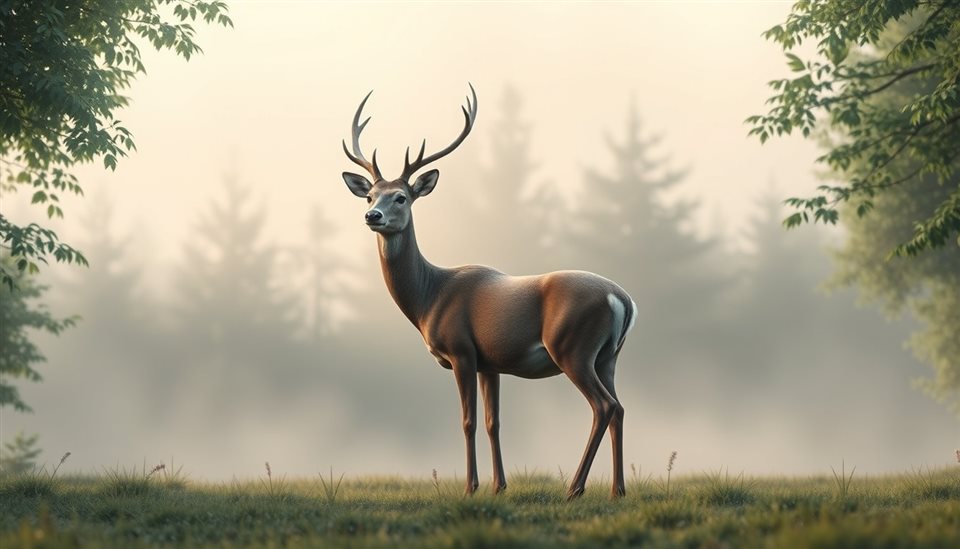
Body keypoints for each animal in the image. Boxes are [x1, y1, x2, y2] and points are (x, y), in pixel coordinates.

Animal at [339, 84, 637, 500]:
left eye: (401, 197)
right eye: (370, 196)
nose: (372, 216)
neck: (429, 298)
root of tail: (621, 299)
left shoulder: (461, 350)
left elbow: (468, 421)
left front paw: (471, 487)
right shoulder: (490, 362)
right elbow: (495, 421)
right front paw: (499, 485)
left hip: (573, 348)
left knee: (603, 407)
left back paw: (575, 489)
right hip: (609, 355)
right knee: (620, 407)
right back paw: (617, 490)